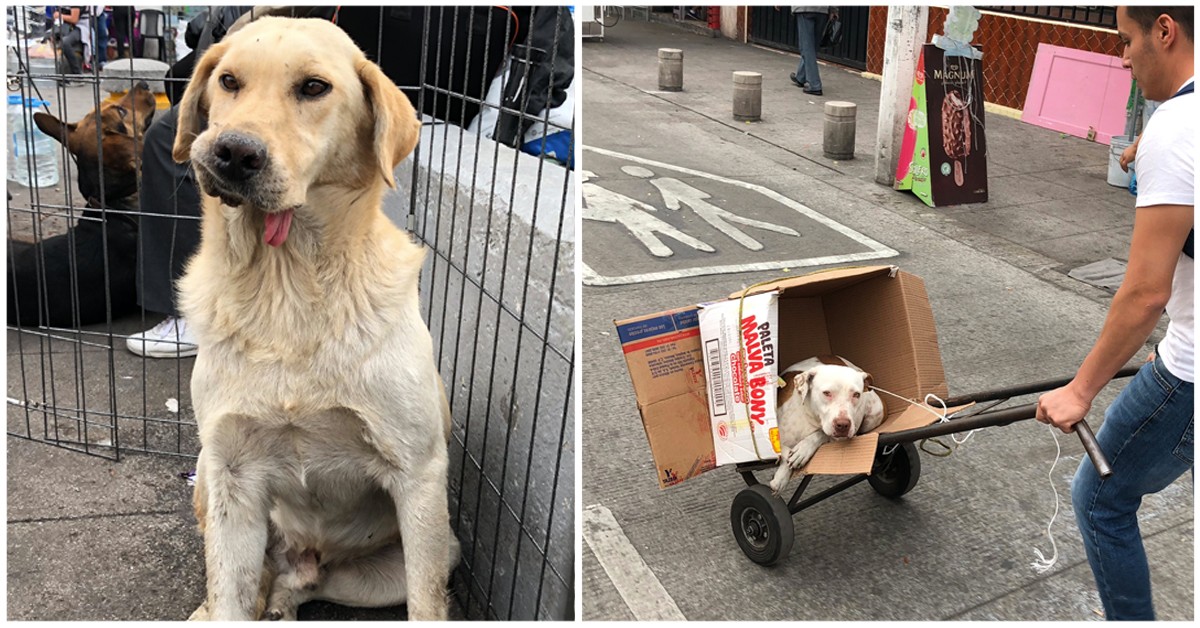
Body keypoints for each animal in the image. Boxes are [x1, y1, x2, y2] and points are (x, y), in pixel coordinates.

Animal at [175, 17, 456, 619]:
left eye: (313, 88)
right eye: (228, 81)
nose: (233, 152)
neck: (286, 284)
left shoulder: (419, 473)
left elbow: (426, 601)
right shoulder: (232, 471)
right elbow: (229, 594)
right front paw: (222, 606)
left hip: (427, 555)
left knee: (302, 582)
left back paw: (284, 599)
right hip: (206, 476)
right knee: (246, 580)